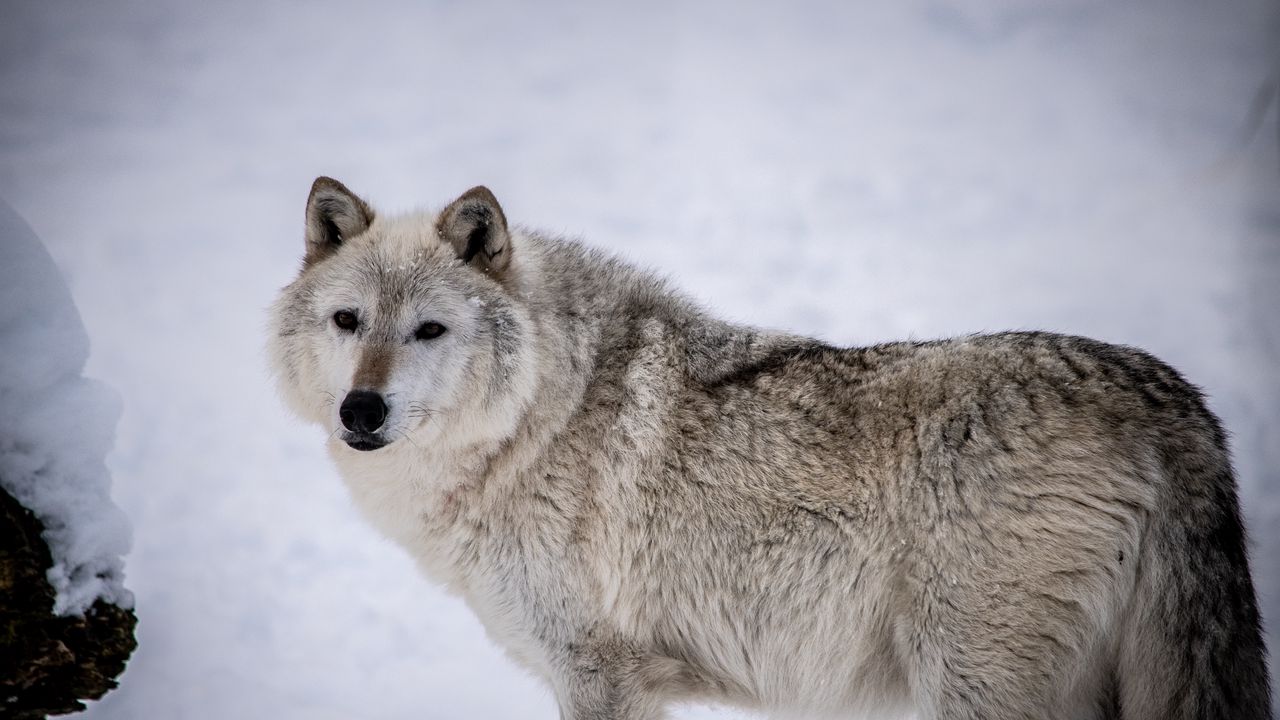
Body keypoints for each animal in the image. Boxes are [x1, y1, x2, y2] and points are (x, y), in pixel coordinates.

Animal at [267, 175, 1269, 717]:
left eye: (429, 330)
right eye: (349, 321)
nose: (362, 411)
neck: (538, 419)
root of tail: (1176, 401)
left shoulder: (601, 675)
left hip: (978, 685)